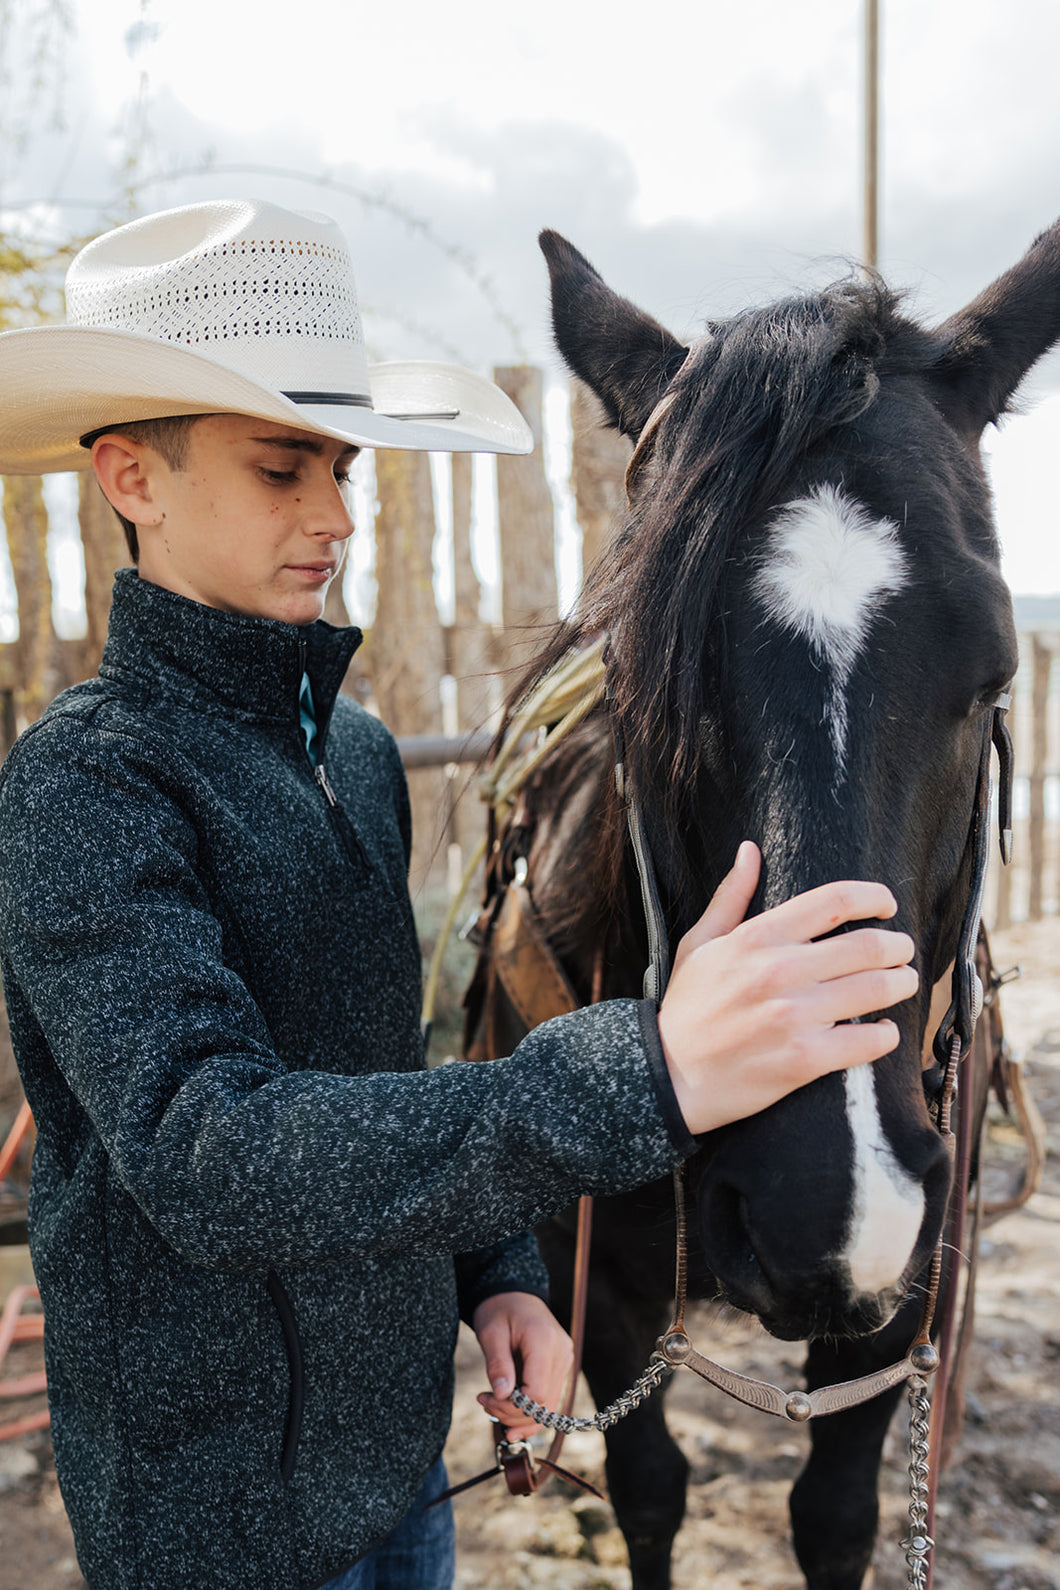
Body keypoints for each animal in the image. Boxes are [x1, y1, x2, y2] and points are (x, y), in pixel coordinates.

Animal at [467, 227, 1060, 1590]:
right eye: (638, 667)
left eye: (993, 672)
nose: (819, 1205)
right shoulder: (605, 1282)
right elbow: (649, 1492)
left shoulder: (908, 1278)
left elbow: (835, 1513)